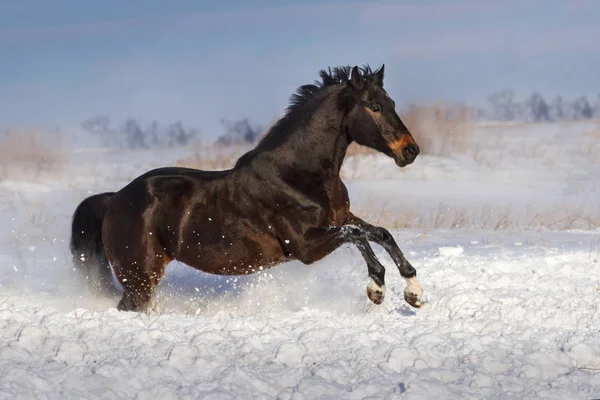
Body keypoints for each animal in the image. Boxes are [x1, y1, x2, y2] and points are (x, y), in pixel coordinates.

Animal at [70, 65, 424, 312]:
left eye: (390, 102)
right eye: (373, 106)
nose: (410, 151)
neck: (298, 174)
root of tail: (113, 199)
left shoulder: (340, 217)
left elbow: (379, 233)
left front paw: (414, 293)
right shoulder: (306, 247)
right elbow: (359, 235)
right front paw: (376, 288)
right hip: (140, 279)